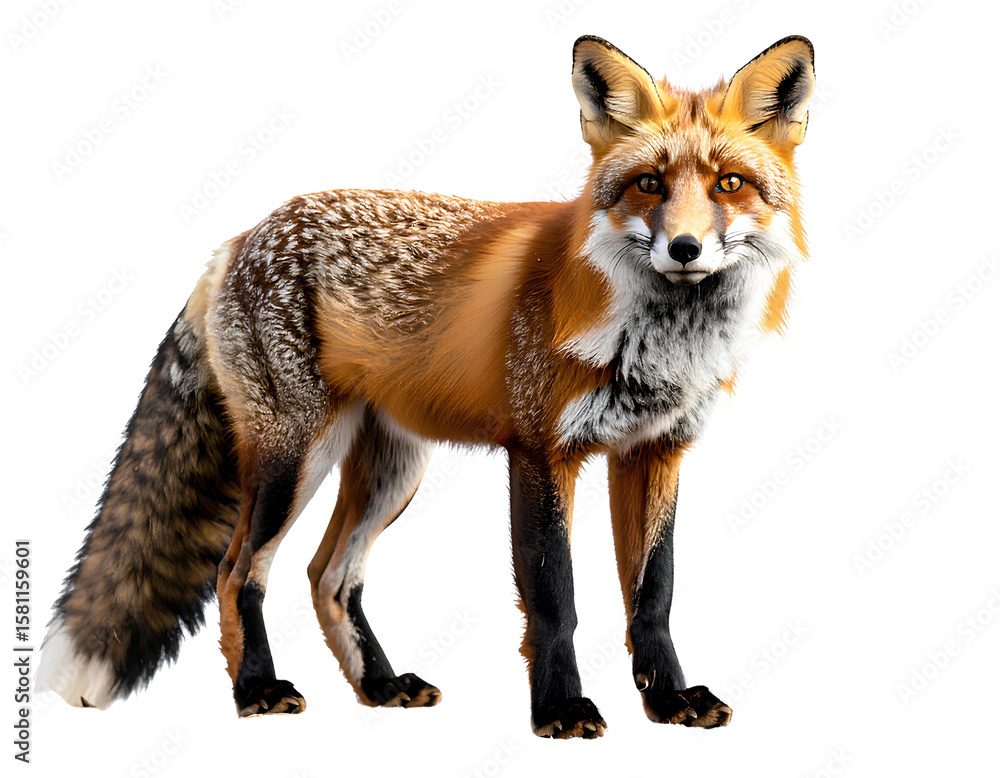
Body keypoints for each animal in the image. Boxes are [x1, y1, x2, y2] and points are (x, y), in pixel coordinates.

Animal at [37, 35, 815, 739]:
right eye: (649, 183)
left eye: (728, 184)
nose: (684, 249)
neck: (656, 340)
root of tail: (239, 237)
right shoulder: (540, 452)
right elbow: (554, 600)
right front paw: (560, 709)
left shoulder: (655, 452)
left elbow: (654, 596)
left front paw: (670, 701)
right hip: (295, 458)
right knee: (239, 571)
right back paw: (256, 689)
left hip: (393, 470)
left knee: (328, 576)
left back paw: (380, 687)